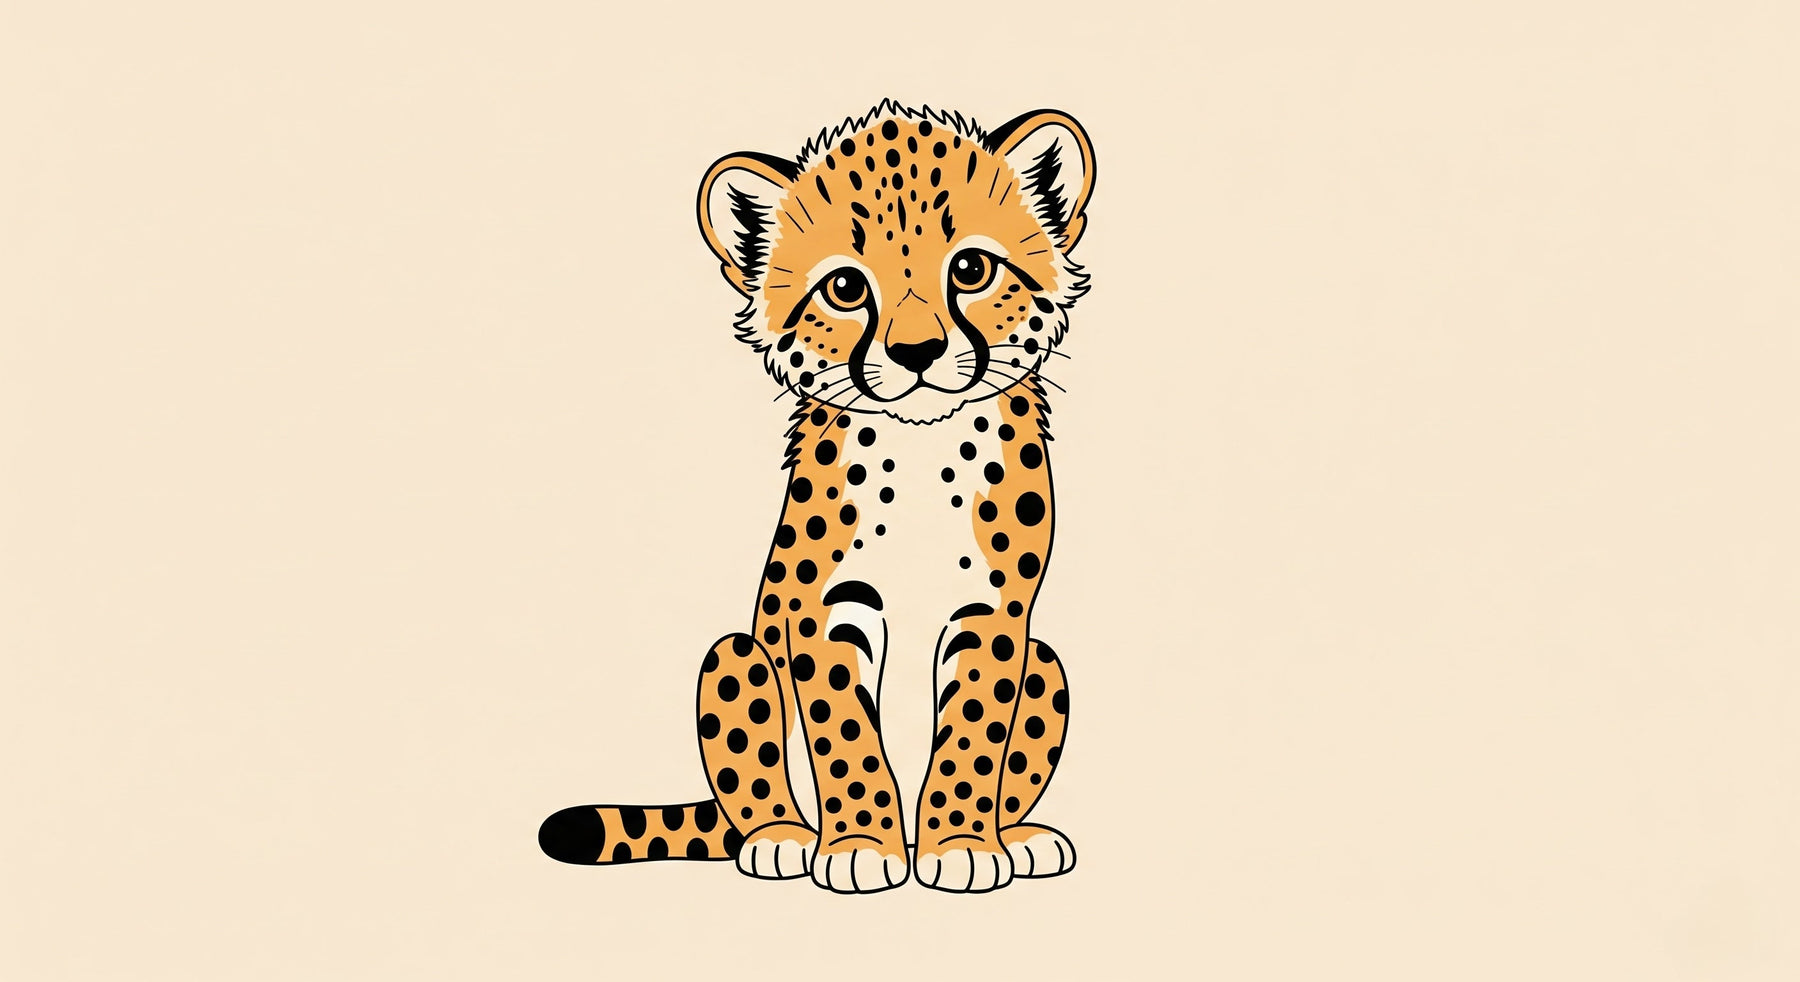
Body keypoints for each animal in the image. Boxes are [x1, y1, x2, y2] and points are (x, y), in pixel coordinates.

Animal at [538, 100, 1094, 893]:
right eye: (845, 289)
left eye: (971, 269)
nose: (917, 353)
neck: (921, 445)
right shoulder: (824, 610)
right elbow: (845, 733)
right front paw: (860, 844)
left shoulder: (995, 614)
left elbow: (974, 735)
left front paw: (961, 844)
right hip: (737, 654)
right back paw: (784, 837)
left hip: (1043, 660)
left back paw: (1014, 835)